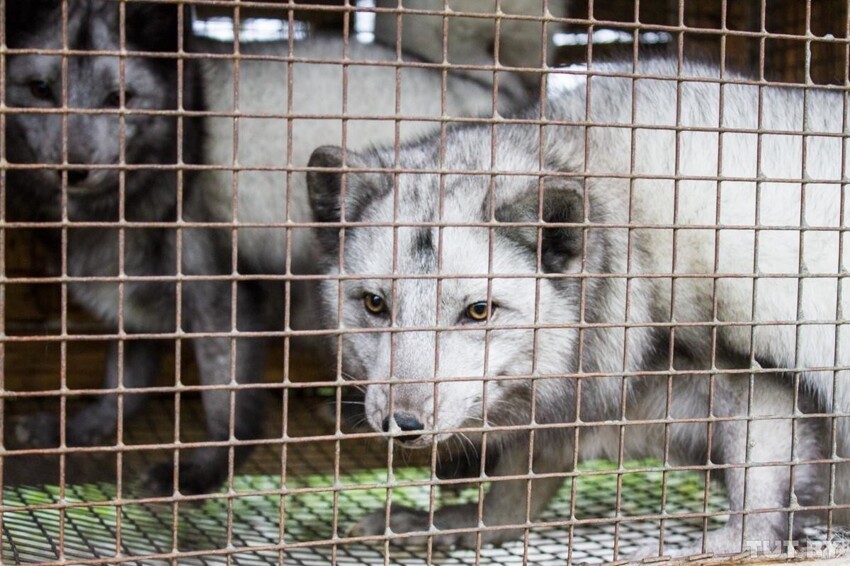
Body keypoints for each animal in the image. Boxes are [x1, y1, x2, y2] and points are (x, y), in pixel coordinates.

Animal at [306, 58, 848, 560]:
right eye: (375, 303)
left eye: (478, 311)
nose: (403, 423)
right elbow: (516, 493)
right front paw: (454, 523)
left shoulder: (757, 373)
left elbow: (758, 496)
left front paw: (726, 545)